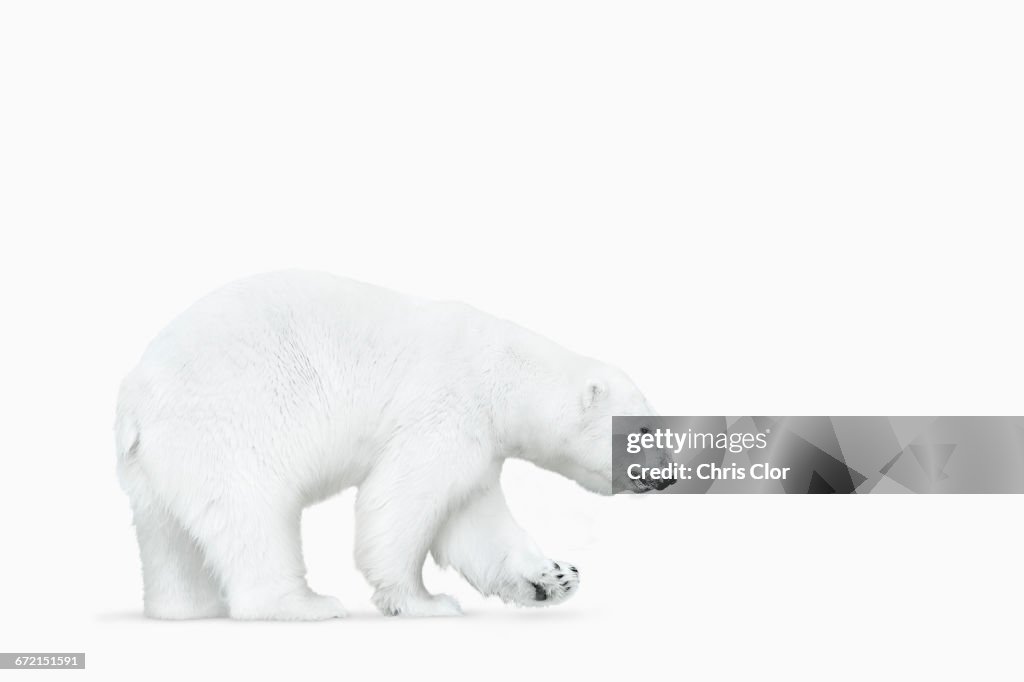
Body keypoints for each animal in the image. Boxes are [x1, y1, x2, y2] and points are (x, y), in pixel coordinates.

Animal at [116, 270, 659, 614]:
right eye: (644, 431)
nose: (664, 474)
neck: (504, 372)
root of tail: (134, 403)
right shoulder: (445, 410)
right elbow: (400, 501)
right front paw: (425, 601)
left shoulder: (481, 446)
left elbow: (473, 521)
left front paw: (551, 577)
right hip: (227, 427)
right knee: (252, 515)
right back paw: (305, 604)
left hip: (156, 466)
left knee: (169, 535)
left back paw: (184, 608)